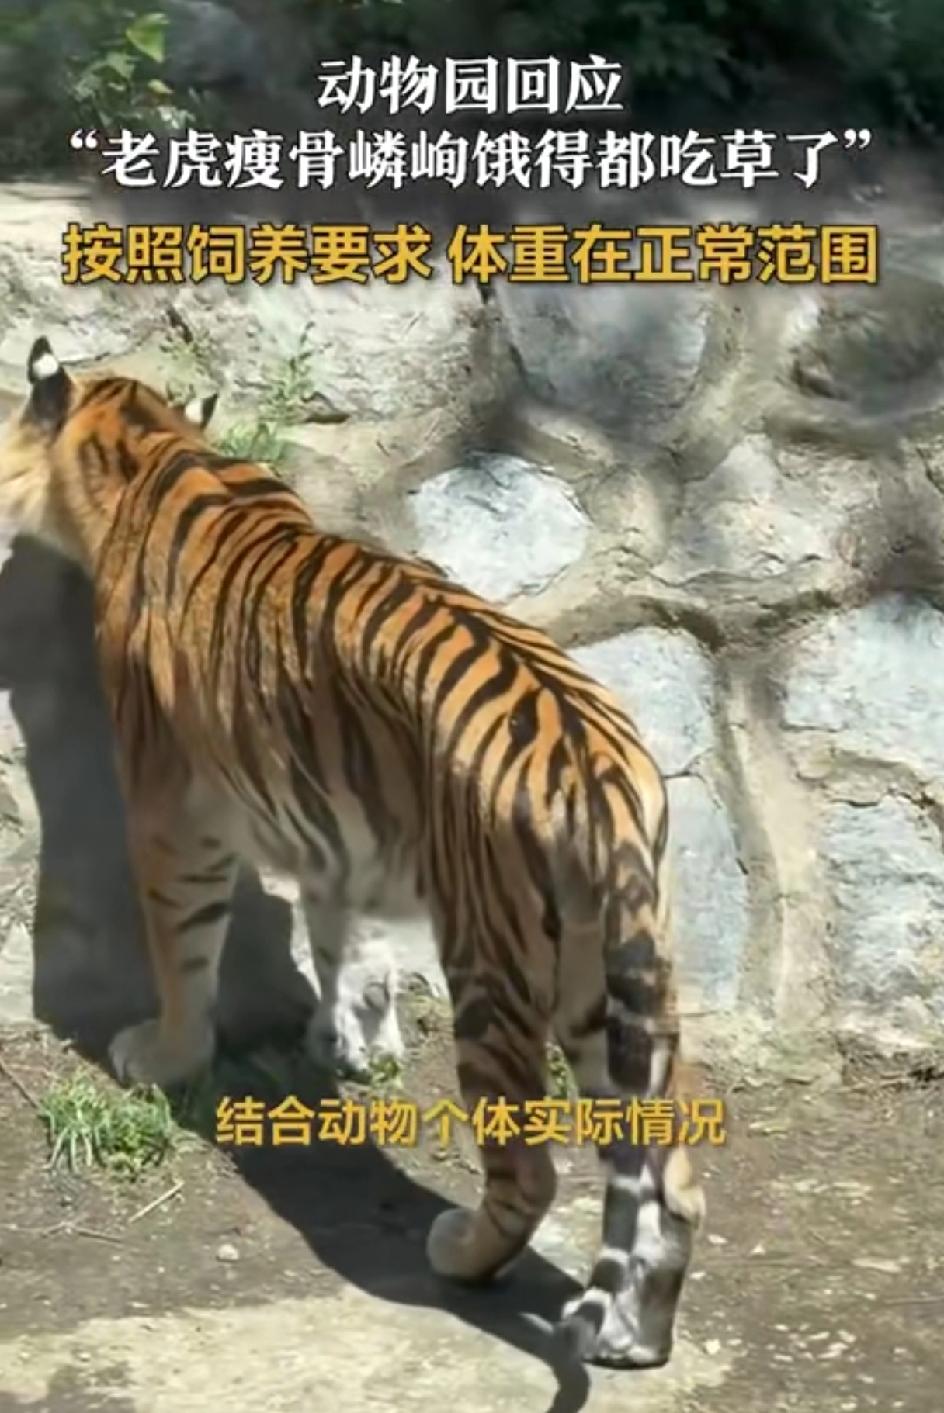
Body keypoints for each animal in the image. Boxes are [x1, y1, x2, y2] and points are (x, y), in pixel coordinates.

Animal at [0, 336, 706, 1369]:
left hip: (495, 967)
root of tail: (599, 763)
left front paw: (164, 1054)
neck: (155, 446)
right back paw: (636, 1337)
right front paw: (355, 1039)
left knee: (529, 1169)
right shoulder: (333, 819)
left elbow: (184, 954)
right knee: (674, 1180)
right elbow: (346, 937)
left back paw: (462, 1253)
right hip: (606, 981)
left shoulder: (173, 815)